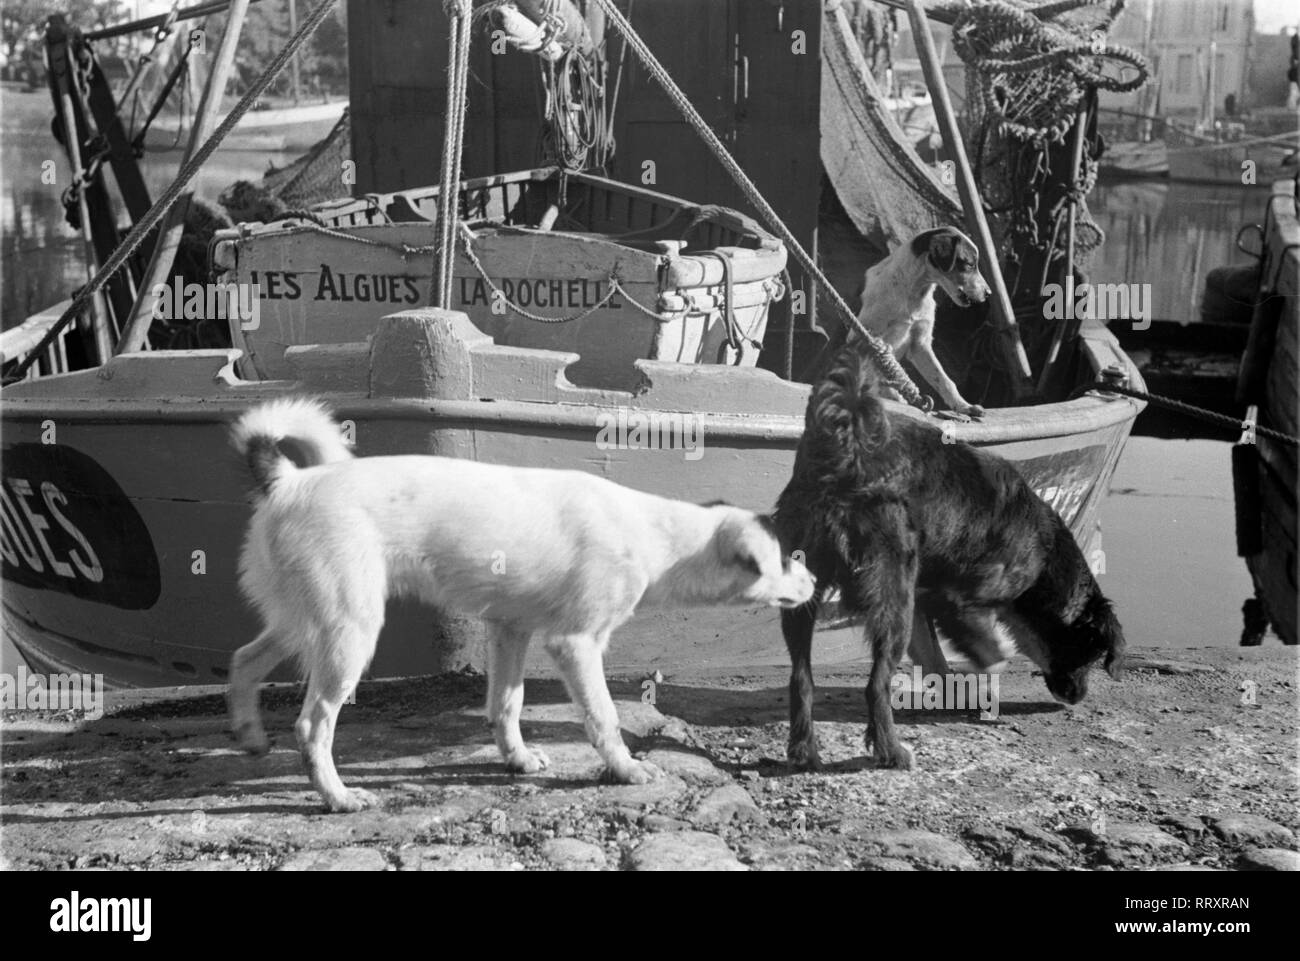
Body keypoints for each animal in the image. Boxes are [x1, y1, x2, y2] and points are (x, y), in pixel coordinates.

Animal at [224, 397, 811, 811]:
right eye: (788, 557)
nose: (817, 579)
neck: (658, 535)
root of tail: (290, 480)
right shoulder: (575, 644)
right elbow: (603, 716)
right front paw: (625, 770)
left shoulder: (511, 630)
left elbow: (506, 705)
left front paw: (518, 759)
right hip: (350, 631)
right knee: (311, 726)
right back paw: (338, 797)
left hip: (307, 620)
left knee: (243, 660)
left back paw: (250, 735)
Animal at [769, 348, 1128, 769]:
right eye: (1092, 653)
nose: (1077, 698)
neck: (1045, 556)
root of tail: (847, 451)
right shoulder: (956, 601)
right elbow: (996, 656)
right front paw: (983, 689)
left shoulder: (923, 601)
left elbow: (935, 660)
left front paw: (958, 694)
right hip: (892, 598)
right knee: (875, 684)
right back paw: (890, 750)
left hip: (808, 595)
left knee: (801, 678)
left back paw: (804, 749)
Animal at [852, 228, 993, 421]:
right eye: (970, 264)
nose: (988, 293)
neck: (914, 293)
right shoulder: (863, 338)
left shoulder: (920, 344)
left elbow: (944, 379)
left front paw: (964, 406)